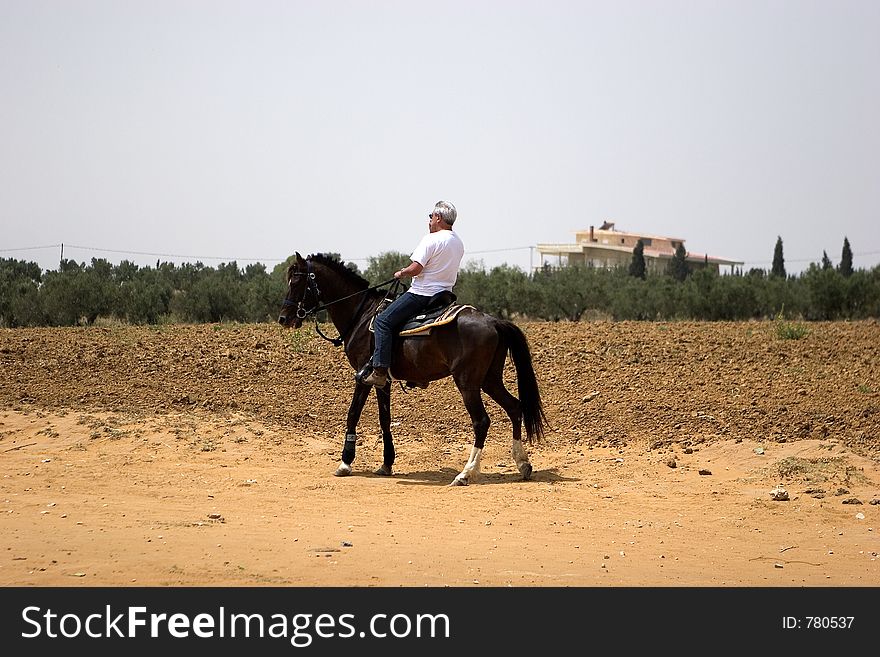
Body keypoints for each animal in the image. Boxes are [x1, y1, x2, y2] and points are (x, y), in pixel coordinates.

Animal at [278, 254, 548, 484]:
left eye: (297, 280)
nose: (284, 318)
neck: (362, 315)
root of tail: (493, 321)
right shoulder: (382, 380)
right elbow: (385, 418)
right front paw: (386, 463)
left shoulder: (361, 376)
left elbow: (353, 414)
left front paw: (345, 463)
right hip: (490, 380)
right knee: (515, 407)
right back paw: (523, 464)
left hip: (468, 383)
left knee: (481, 421)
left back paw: (465, 473)